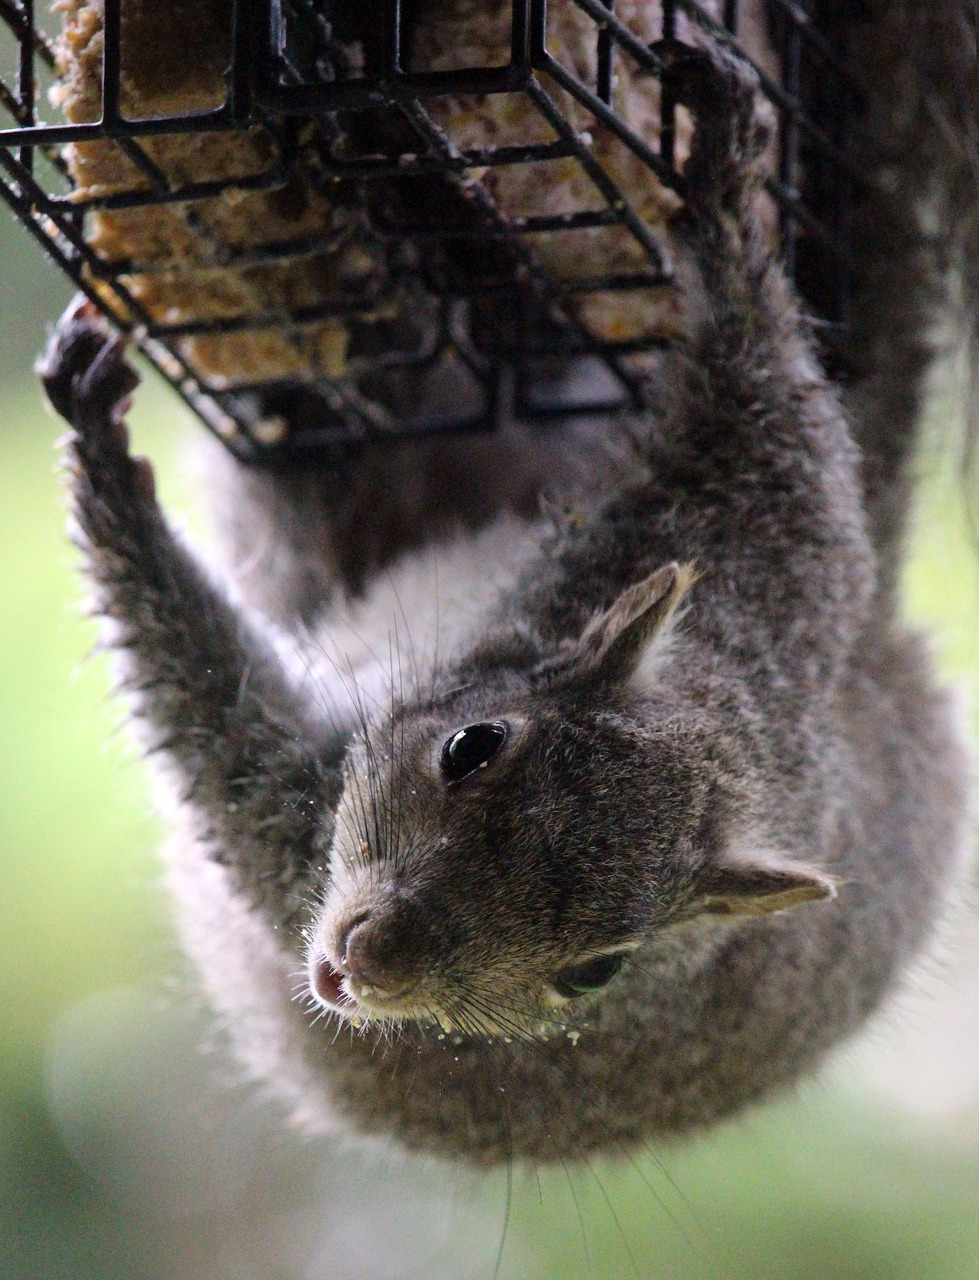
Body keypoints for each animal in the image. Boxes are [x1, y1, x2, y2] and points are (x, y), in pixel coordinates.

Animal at [36, 20, 972, 1167]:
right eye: (471, 746)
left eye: (596, 971)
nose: (373, 963)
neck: (730, 713)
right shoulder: (775, 539)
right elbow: (768, 381)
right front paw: (721, 176)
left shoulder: (292, 826)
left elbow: (208, 719)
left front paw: (105, 468)